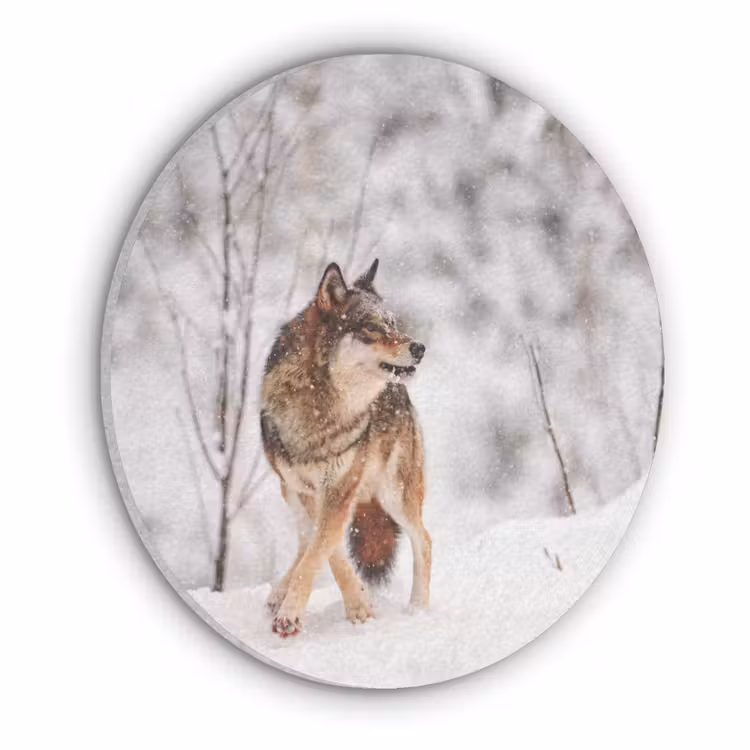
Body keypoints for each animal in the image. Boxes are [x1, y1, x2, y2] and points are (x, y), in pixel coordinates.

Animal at [260, 259, 431, 637]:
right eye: (372, 327)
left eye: (393, 324)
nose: (420, 348)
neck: (322, 406)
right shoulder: (311, 492)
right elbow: (327, 551)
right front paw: (358, 605)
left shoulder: (339, 490)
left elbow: (321, 551)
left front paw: (295, 615)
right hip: (289, 492)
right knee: (305, 539)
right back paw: (278, 592)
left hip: (394, 494)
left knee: (424, 540)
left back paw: (418, 610)